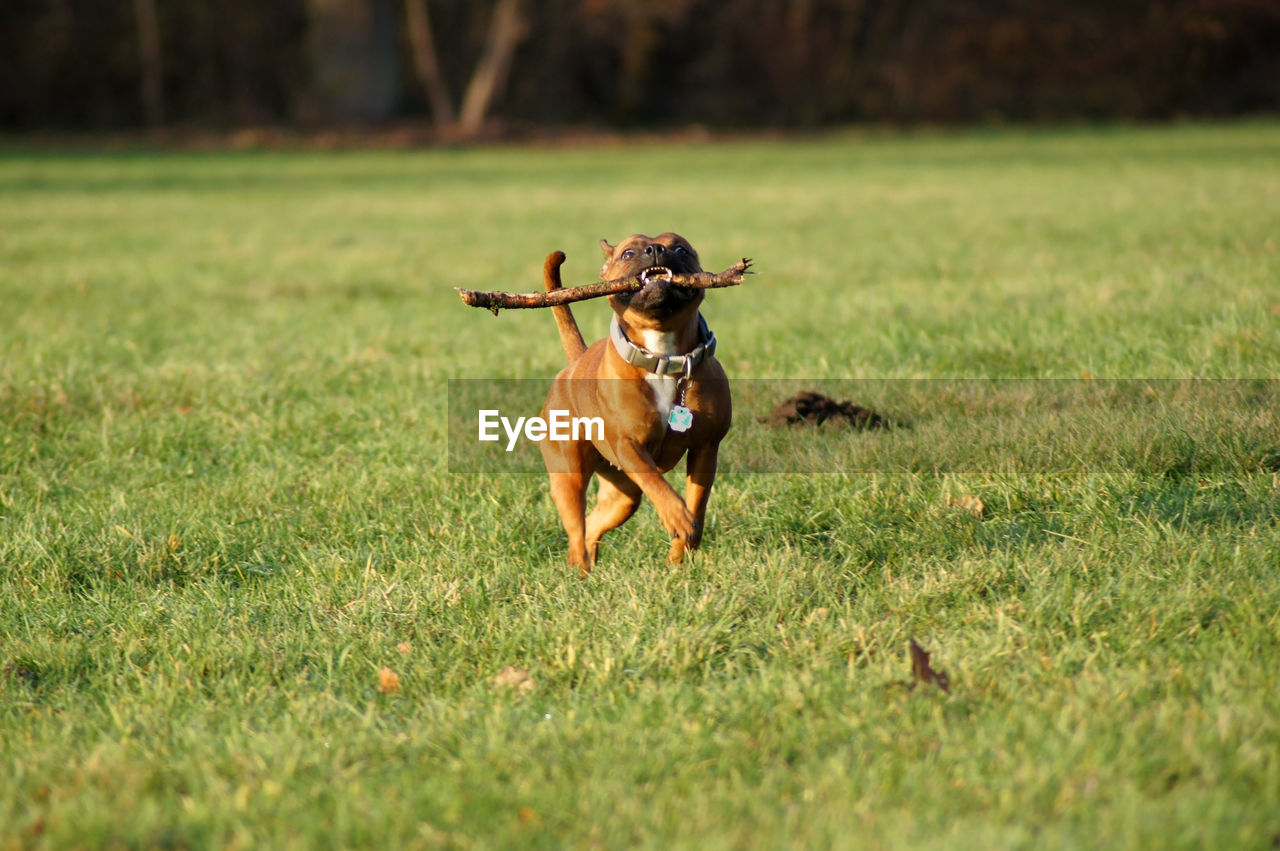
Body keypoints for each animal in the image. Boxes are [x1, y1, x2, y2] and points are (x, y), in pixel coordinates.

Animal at [537, 232, 732, 578]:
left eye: (680, 248)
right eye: (628, 253)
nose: (656, 249)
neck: (663, 356)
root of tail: (575, 364)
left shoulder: (706, 449)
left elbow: (697, 504)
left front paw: (679, 555)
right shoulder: (628, 445)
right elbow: (656, 481)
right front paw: (676, 516)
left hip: (622, 496)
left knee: (592, 526)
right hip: (569, 477)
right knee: (576, 529)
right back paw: (580, 572)